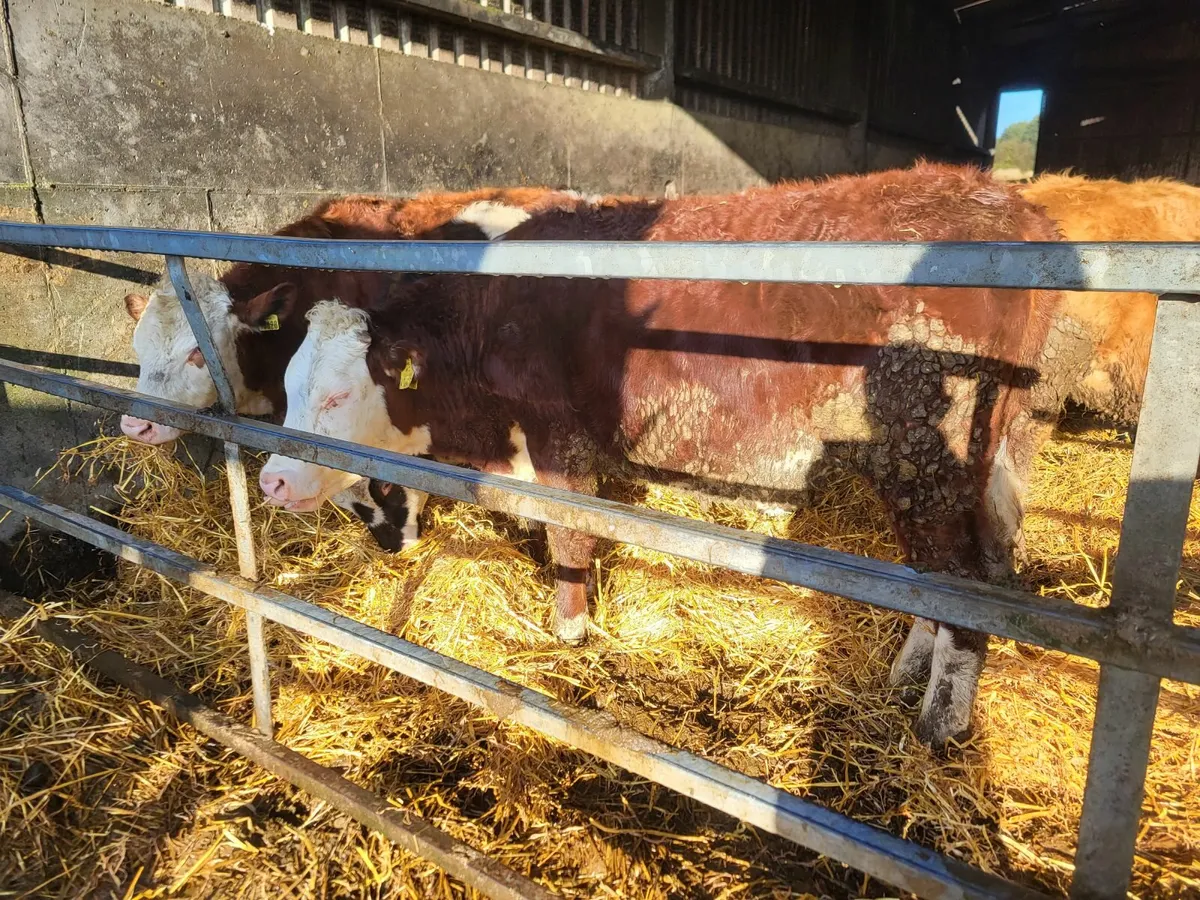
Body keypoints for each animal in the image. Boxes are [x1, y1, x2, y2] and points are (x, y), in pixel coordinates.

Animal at [256, 163, 1075, 747]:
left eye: (335, 397)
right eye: (289, 386)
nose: (272, 479)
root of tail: (1005, 202)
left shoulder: (559, 439)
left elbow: (571, 533)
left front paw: (569, 632)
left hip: (926, 462)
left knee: (960, 584)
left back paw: (940, 724)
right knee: (951, 575)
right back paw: (909, 674)